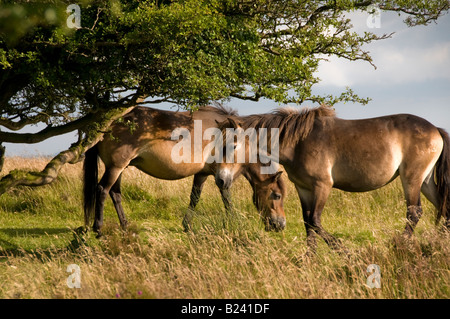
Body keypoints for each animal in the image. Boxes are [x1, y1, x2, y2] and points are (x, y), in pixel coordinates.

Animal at [82, 105, 286, 238]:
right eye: (276, 195)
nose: (280, 224)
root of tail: (107, 124)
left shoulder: (202, 174)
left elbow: (194, 197)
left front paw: (186, 225)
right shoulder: (218, 175)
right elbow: (226, 199)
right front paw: (236, 221)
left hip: (119, 168)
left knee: (115, 194)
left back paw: (125, 225)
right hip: (116, 167)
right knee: (102, 190)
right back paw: (98, 229)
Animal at [218, 107, 450, 252]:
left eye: (233, 145)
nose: (221, 180)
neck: (299, 142)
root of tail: (435, 129)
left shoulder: (322, 186)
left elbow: (315, 221)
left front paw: (344, 251)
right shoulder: (303, 188)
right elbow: (308, 223)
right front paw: (309, 259)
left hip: (411, 179)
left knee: (414, 212)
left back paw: (398, 245)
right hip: (425, 182)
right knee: (443, 208)